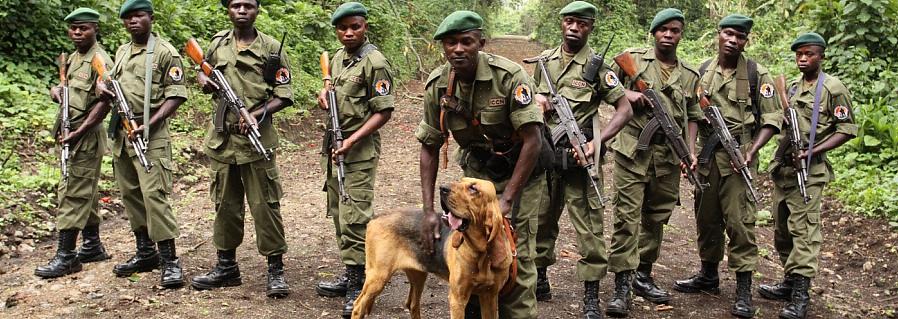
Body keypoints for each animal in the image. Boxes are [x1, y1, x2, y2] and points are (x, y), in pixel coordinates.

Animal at [354, 179, 516, 318]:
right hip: (378, 277)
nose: (442, 188)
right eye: (460, 180)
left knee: (412, 304)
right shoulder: (457, 299)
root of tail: (375, 218)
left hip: (418, 275)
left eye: (473, 188)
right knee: (357, 306)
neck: (480, 253)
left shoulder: (490, 296)